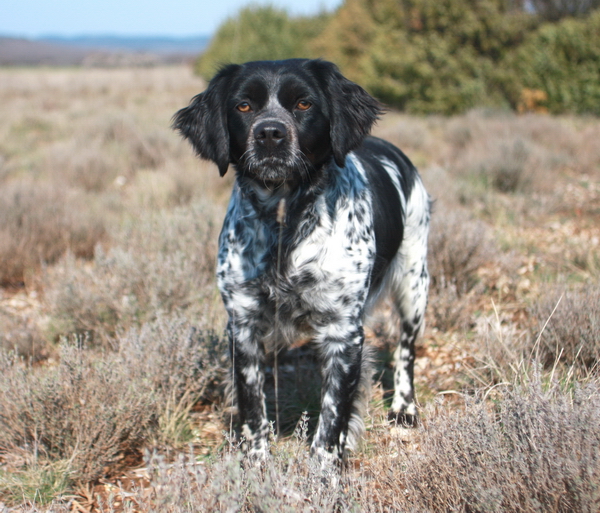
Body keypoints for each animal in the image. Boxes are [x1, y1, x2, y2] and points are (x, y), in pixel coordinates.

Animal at [173, 58, 432, 462]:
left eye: (304, 104)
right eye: (243, 106)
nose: (270, 133)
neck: (284, 219)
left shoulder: (344, 331)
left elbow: (331, 419)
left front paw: (325, 470)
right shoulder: (243, 326)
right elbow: (253, 410)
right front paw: (256, 465)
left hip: (413, 284)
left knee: (406, 352)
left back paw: (404, 408)